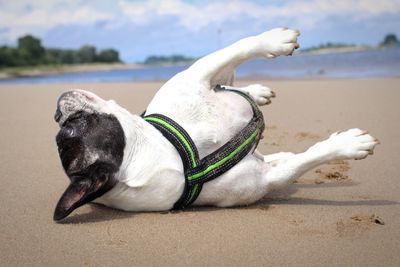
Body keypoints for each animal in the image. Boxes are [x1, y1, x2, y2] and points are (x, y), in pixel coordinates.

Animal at [53, 28, 378, 223]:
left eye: (68, 126)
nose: (56, 110)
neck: (174, 152)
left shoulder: (196, 75)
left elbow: (237, 49)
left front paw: (273, 41)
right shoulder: (265, 179)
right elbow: (304, 161)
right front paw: (348, 144)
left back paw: (256, 91)